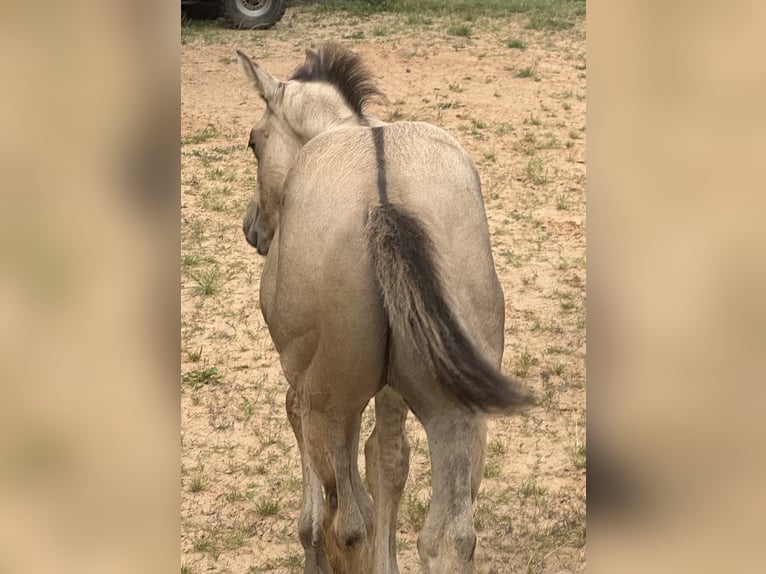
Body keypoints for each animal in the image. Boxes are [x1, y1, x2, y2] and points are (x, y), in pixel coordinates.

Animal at [237, 43, 532, 574]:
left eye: (253, 142)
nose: (252, 229)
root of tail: (385, 205)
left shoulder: (303, 390)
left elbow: (325, 504)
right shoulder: (393, 392)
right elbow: (389, 461)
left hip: (333, 407)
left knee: (348, 525)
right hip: (455, 412)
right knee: (450, 537)